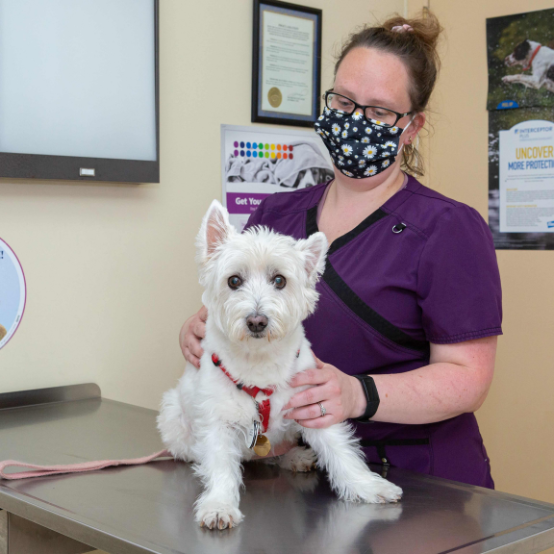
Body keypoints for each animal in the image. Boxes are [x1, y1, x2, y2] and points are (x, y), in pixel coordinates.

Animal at [156, 201, 402, 528]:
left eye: (279, 280)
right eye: (234, 280)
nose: (257, 320)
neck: (259, 359)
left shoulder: (314, 404)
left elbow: (340, 450)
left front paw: (368, 486)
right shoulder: (217, 421)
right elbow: (220, 464)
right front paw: (219, 505)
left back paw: (296, 457)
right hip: (173, 414)